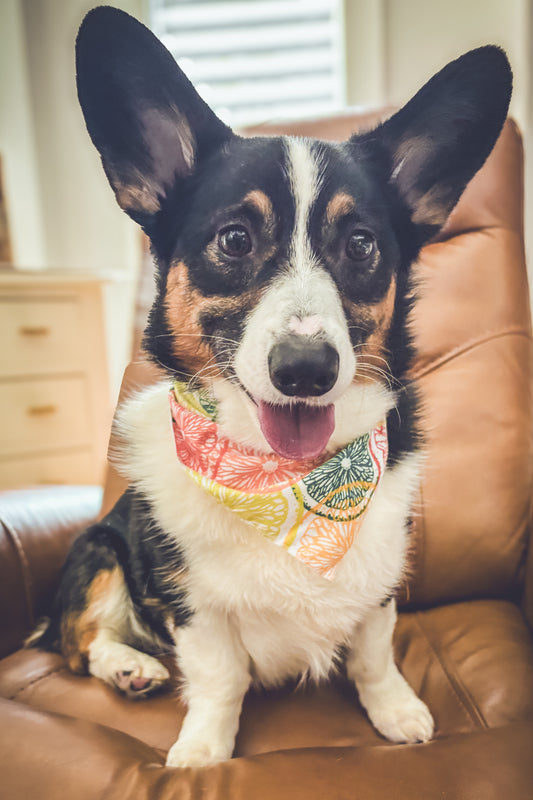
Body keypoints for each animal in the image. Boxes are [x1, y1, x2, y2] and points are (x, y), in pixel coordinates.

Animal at [30, 4, 512, 768]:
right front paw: (203, 750)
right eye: (234, 239)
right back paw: (129, 667)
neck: (283, 480)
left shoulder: (378, 582)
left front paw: (396, 712)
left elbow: (373, 655)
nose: (307, 370)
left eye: (360, 244)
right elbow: (219, 676)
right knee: (78, 644)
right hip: (97, 549)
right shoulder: (189, 602)